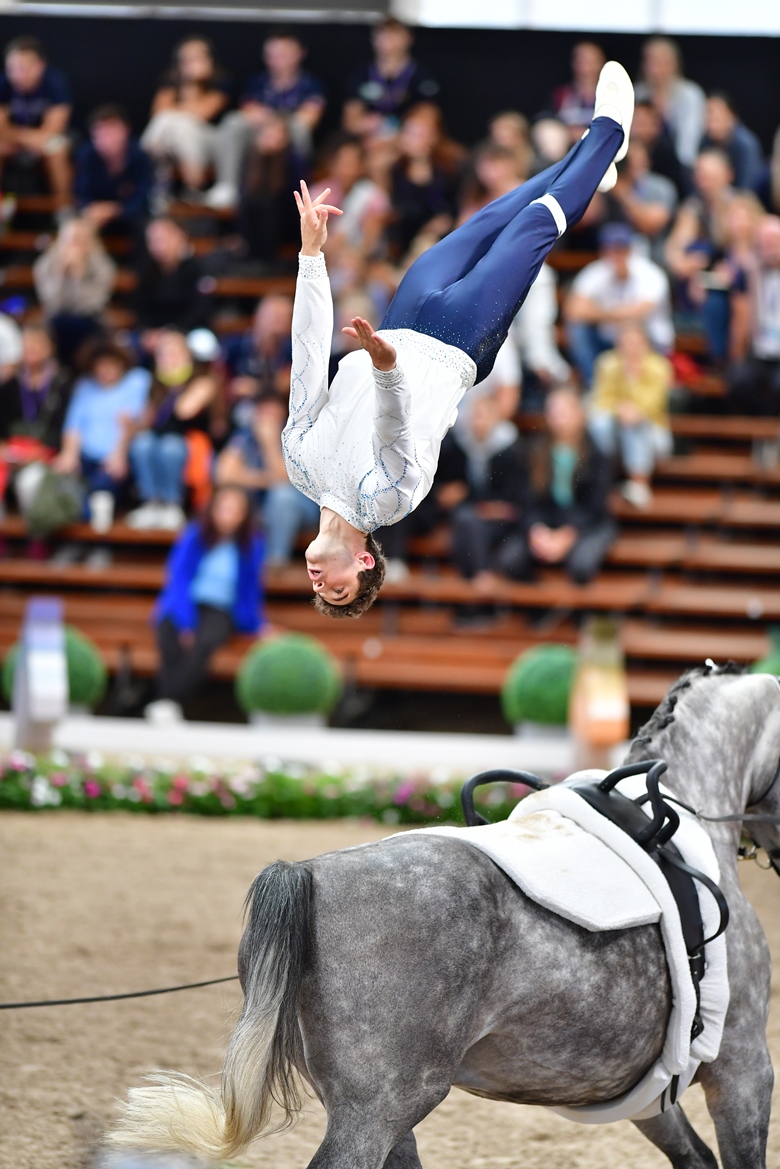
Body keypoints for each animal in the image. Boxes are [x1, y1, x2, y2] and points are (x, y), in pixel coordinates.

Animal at [111, 668, 780, 1169]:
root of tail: (309, 875)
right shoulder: (743, 1069)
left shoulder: (647, 1091)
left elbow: (694, 1157)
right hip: (377, 1110)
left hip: (383, 1109)